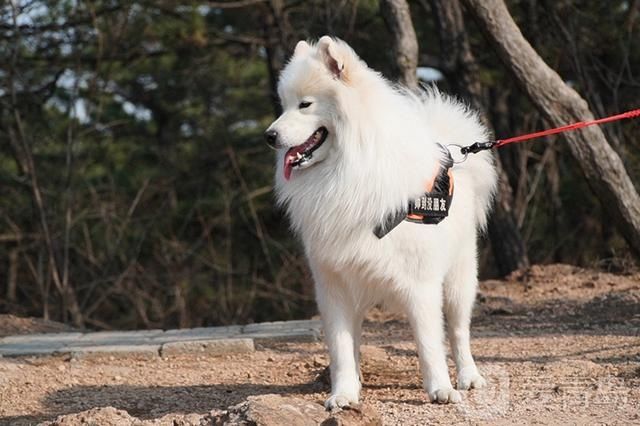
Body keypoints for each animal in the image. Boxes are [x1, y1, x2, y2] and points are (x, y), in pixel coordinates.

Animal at [264, 35, 500, 410]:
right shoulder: (334, 285)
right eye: (283, 105)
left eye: (305, 104)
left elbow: (430, 343)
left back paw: (468, 377)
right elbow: (341, 348)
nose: (269, 136)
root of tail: (455, 153)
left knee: (459, 332)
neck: (348, 169)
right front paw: (343, 394)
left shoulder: (421, 283)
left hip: (460, 280)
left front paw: (440, 389)